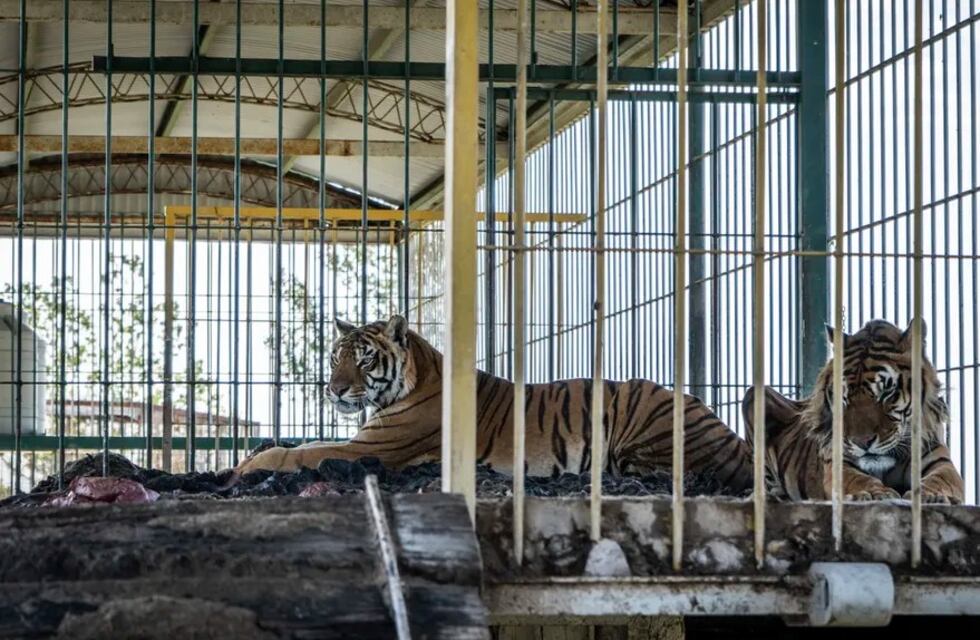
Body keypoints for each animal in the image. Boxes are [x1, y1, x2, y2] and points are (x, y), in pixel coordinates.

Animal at [232, 314, 755, 492]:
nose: (334, 389)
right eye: (335, 356)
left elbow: (302, 453)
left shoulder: (368, 448)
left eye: (362, 359)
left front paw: (245, 465)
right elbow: (300, 444)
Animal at [742, 319, 964, 504]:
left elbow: (940, 479)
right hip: (754, 395)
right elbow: (858, 479)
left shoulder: (940, 460)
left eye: (886, 392)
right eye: (844, 396)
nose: (862, 443)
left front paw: (931, 496)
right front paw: (874, 493)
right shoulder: (838, 462)